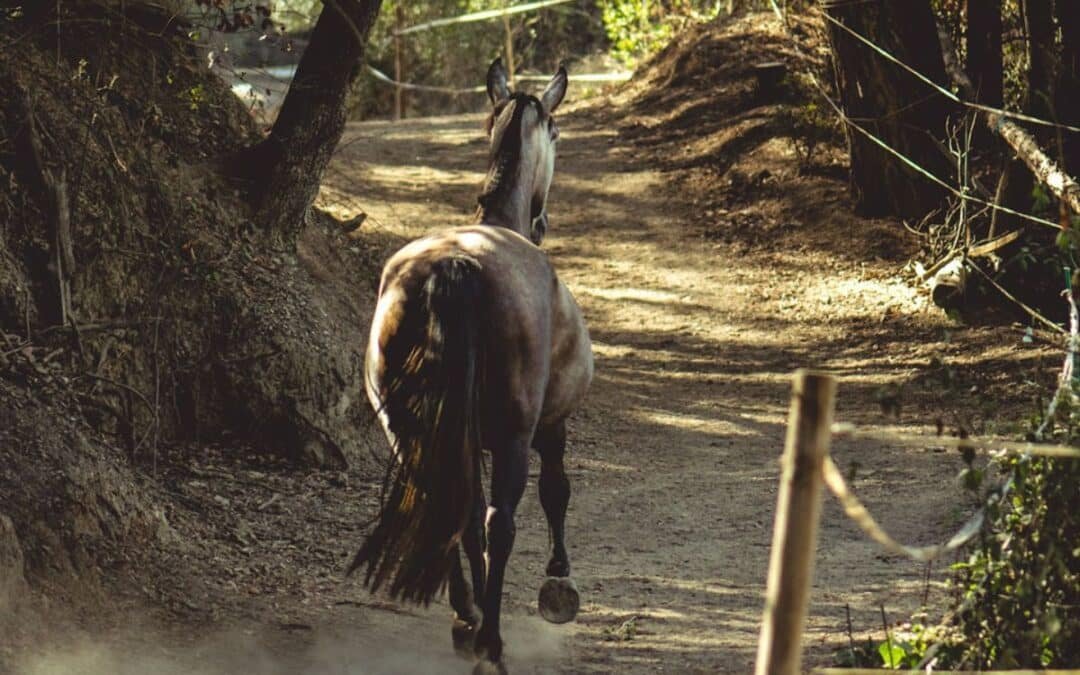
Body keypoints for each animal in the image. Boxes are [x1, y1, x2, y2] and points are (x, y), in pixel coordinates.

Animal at [348, 59, 593, 673]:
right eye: (557, 134)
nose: (543, 219)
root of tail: (455, 265)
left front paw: (475, 610)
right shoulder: (547, 425)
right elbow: (555, 491)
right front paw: (559, 585)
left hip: (410, 431)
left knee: (448, 508)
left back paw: (468, 619)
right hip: (510, 437)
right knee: (497, 521)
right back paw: (491, 644)